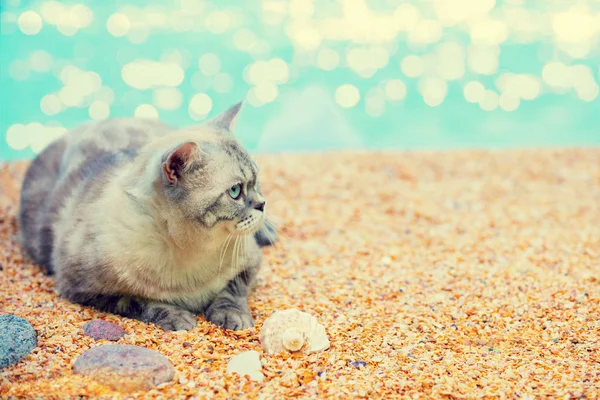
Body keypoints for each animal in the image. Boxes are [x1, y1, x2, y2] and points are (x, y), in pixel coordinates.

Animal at [18, 102, 278, 332]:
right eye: (235, 191)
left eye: (256, 181)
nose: (262, 204)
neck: (190, 251)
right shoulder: (84, 289)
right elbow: (140, 302)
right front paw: (177, 318)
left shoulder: (250, 261)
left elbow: (232, 291)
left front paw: (231, 316)